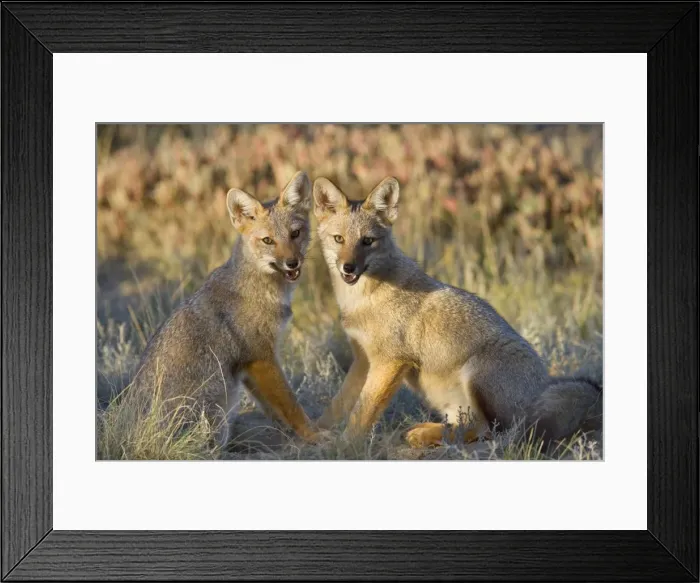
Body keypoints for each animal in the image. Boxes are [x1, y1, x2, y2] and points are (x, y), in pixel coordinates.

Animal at [130, 171, 323, 447]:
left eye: (295, 234)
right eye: (268, 240)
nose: (292, 263)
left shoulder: (252, 367)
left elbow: (275, 410)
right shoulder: (261, 357)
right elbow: (292, 405)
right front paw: (315, 435)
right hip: (220, 410)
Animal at [313, 176, 602, 448]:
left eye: (367, 241)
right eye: (339, 239)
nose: (348, 268)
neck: (361, 301)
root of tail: (542, 387)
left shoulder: (389, 361)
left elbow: (362, 412)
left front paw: (345, 445)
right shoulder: (363, 359)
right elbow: (339, 405)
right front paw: (316, 434)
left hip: (477, 375)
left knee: (490, 431)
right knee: (468, 425)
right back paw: (423, 432)